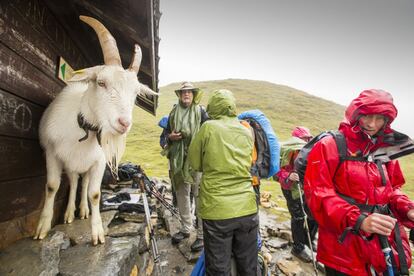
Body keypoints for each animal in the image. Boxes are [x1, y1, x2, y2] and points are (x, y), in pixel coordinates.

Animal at [32, 15, 157, 244]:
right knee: (74, 182)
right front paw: (42, 228)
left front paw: (97, 232)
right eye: (101, 82)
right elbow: (52, 186)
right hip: (71, 163)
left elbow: (95, 194)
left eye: (136, 92)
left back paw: (83, 210)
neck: (82, 130)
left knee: (83, 184)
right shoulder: (52, 153)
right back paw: (69, 213)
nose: (124, 123)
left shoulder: (99, 161)